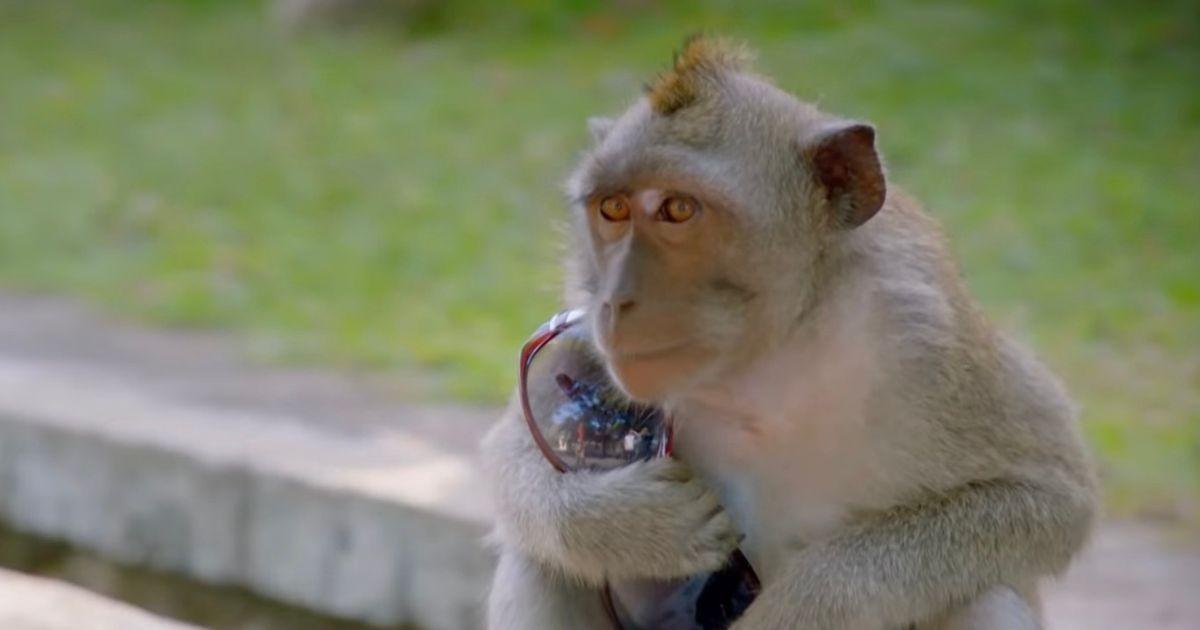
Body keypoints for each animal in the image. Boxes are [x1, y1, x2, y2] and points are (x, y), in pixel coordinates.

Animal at [481, 37, 1097, 630]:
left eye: (677, 209)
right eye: (613, 207)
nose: (615, 300)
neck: (766, 355)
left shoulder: (926, 336)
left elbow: (1051, 496)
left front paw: (802, 605)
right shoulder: (575, 325)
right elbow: (514, 448)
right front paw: (635, 524)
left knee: (982, 596)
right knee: (540, 565)